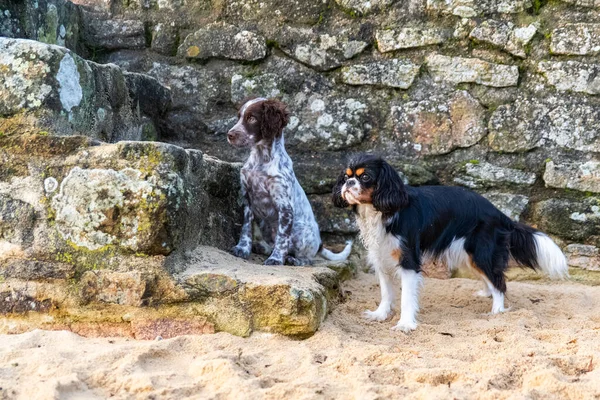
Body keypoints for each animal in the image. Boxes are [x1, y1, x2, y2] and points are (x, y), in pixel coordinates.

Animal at [229, 97, 352, 266]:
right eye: (239, 117)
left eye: (252, 118)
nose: (229, 135)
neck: (261, 159)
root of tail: (320, 244)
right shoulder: (248, 199)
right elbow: (246, 228)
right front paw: (242, 248)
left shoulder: (285, 207)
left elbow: (282, 238)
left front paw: (275, 259)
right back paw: (262, 247)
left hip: (302, 232)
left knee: (307, 259)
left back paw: (293, 259)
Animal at [330, 155, 568, 332]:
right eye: (346, 176)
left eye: (365, 177)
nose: (349, 184)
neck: (381, 210)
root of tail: (499, 213)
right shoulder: (381, 256)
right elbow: (386, 292)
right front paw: (380, 314)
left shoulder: (408, 261)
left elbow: (406, 297)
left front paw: (405, 324)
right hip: (470, 255)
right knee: (490, 279)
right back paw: (486, 294)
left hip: (481, 252)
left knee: (499, 282)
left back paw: (496, 312)